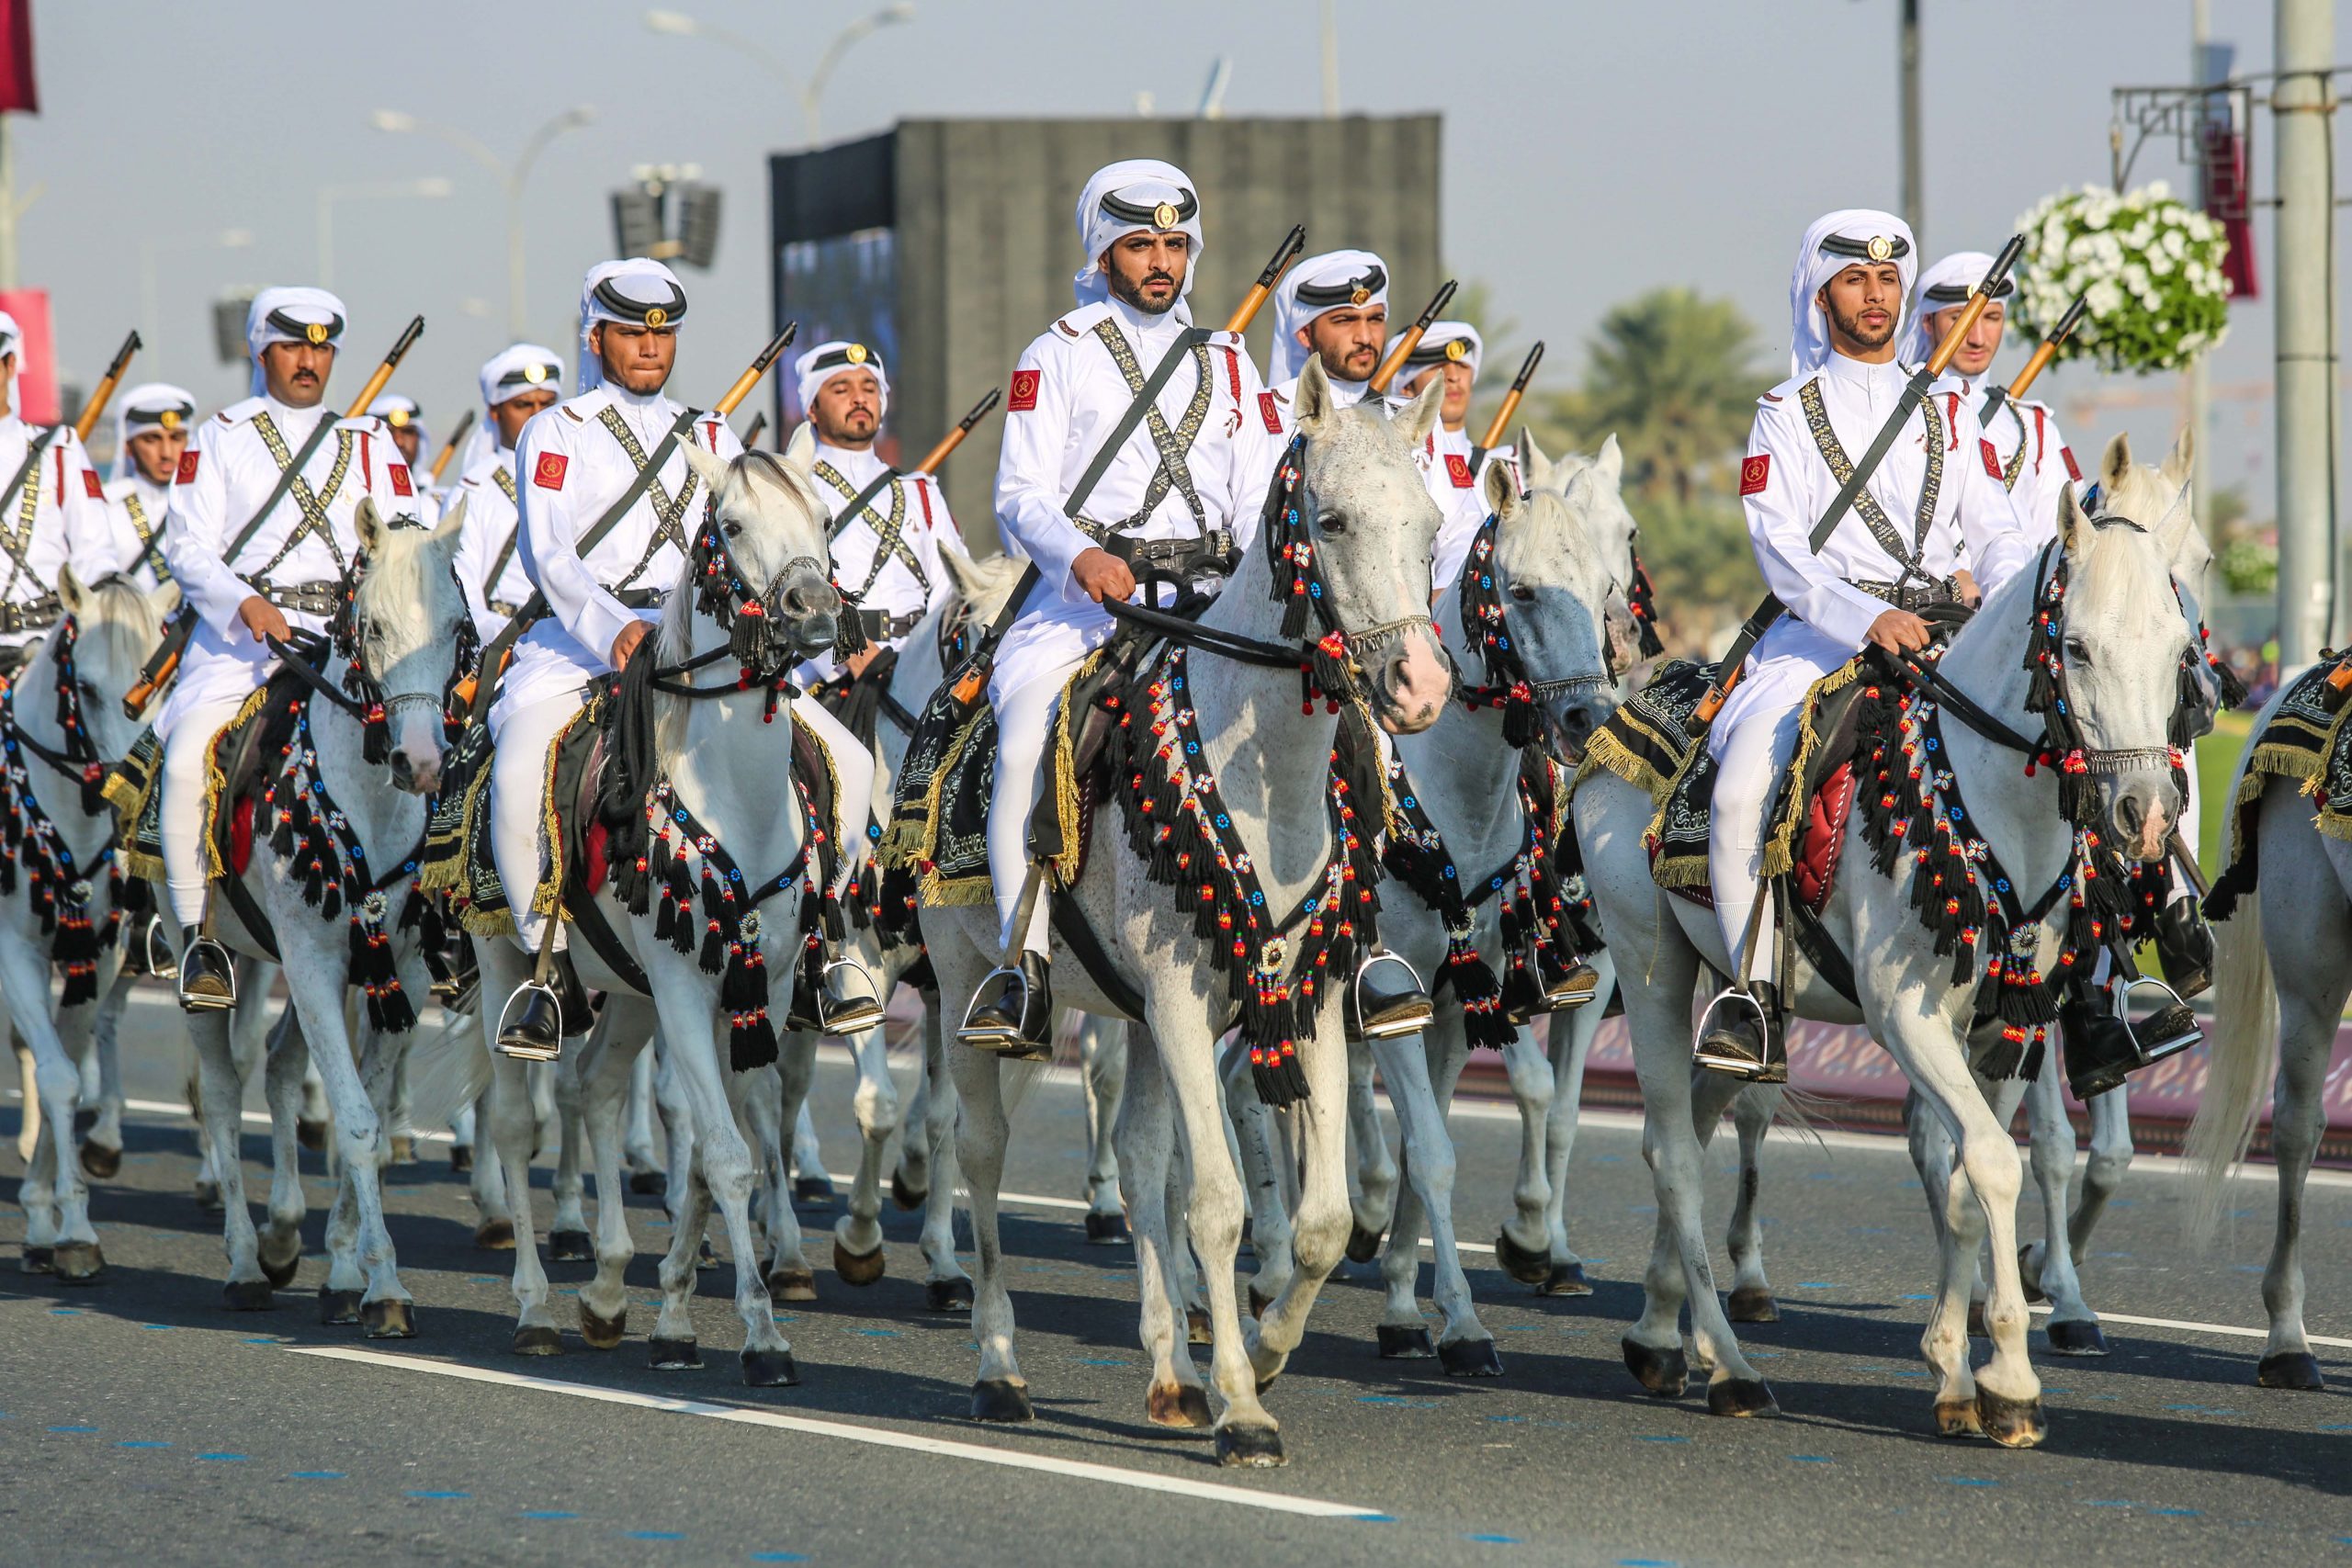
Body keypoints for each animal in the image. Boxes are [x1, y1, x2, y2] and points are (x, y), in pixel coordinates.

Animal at [917, 362, 1448, 1466]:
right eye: (1332, 520)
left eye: (1429, 525)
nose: (1421, 688)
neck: (1263, 779)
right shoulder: (1173, 996)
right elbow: (1215, 1203)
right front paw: (1243, 1406)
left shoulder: (1299, 999)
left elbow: (1320, 1219)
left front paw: (1268, 1353)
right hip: (964, 982)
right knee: (980, 1153)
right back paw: (999, 1367)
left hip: (1143, 1017)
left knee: (1139, 1157)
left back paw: (1169, 1374)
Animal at [1580, 481, 2201, 1448]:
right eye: (2078, 647)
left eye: (2177, 651)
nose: (2145, 812)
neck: (1988, 801)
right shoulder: (1907, 1017)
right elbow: (1991, 1165)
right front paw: (2011, 1378)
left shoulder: (2004, 1032)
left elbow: (1964, 1179)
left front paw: (1957, 1373)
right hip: (1650, 967)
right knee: (1675, 1152)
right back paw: (1731, 1367)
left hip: (1738, 1003)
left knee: (1701, 1115)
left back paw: (1657, 1333)